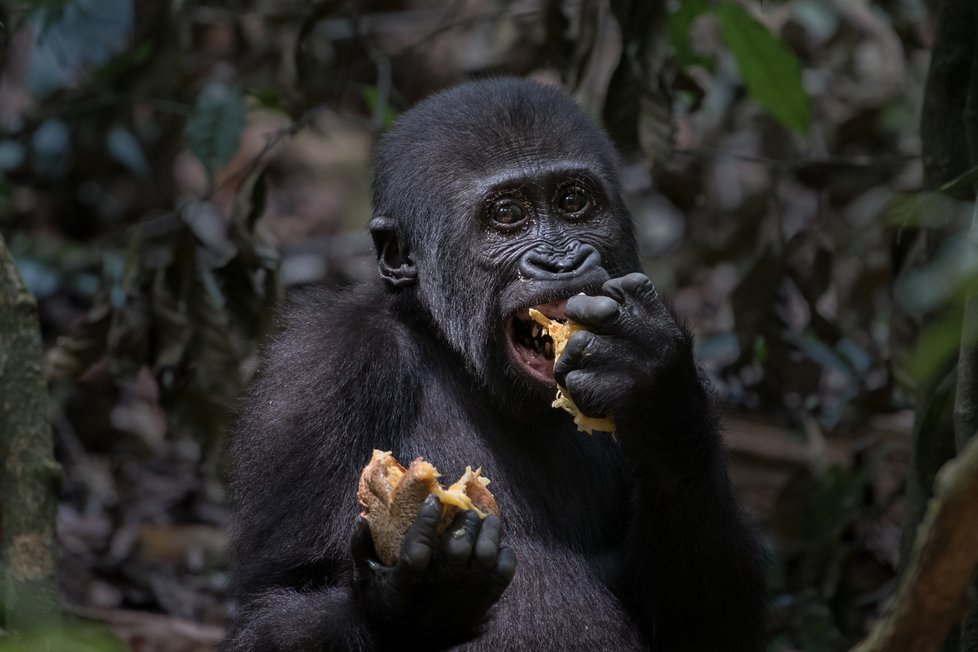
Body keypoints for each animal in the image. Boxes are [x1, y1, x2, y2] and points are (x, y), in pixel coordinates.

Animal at [227, 77, 764, 652]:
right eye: (507, 215)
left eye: (573, 201)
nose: (561, 261)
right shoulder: (319, 375)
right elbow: (276, 604)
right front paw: (420, 599)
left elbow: (702, 625)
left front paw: (655, 389)